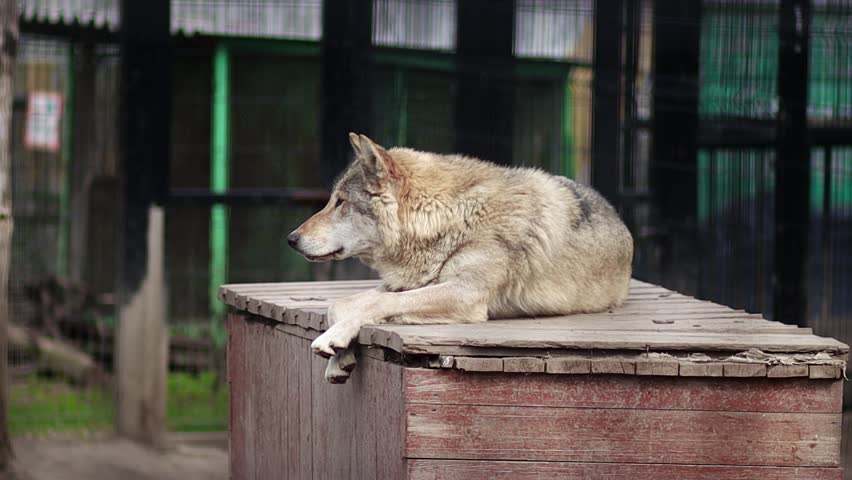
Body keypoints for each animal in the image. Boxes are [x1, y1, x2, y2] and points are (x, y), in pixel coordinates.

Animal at [288, 133, 633, 382]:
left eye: (341, 202)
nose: (291, 239)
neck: (453, 216)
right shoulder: (406, 284)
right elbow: (339, 305)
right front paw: (340, 358)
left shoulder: (465, 293)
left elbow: (380, 304)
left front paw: (335, 339)